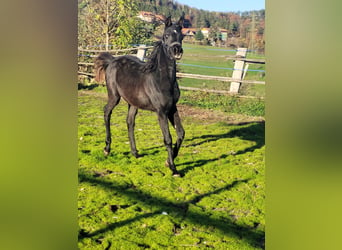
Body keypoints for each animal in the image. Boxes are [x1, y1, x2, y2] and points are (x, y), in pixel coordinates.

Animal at [94, 15, 184, 176]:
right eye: (166, 35)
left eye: (181, 36)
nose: (177, 50)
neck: (161, 79)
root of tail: (112, 61)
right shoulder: (161, 112)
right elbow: (167, 138)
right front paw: (173, 169)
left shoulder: (172, 108)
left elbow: (180, 133)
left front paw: (168, 162)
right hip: (114, 96)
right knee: (106, 112)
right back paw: (107, 149)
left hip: (133, 103)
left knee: (130, 121)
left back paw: (135, 152)